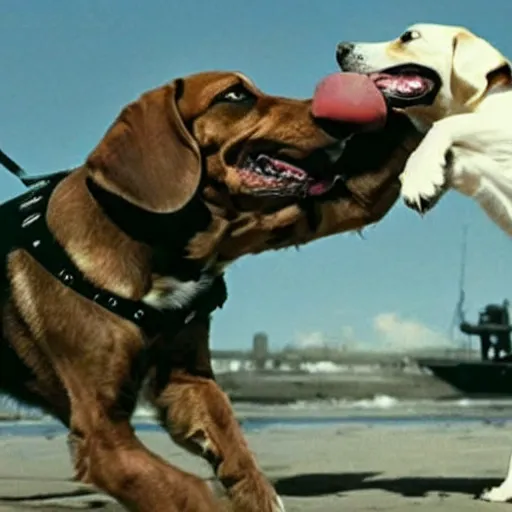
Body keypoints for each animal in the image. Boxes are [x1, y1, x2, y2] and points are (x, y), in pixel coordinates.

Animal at [0, 73, 420, 512]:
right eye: (234, 95)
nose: (342, 120)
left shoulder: (186, 382)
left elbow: (236, 452)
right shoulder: (102, 433)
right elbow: (186, 490)